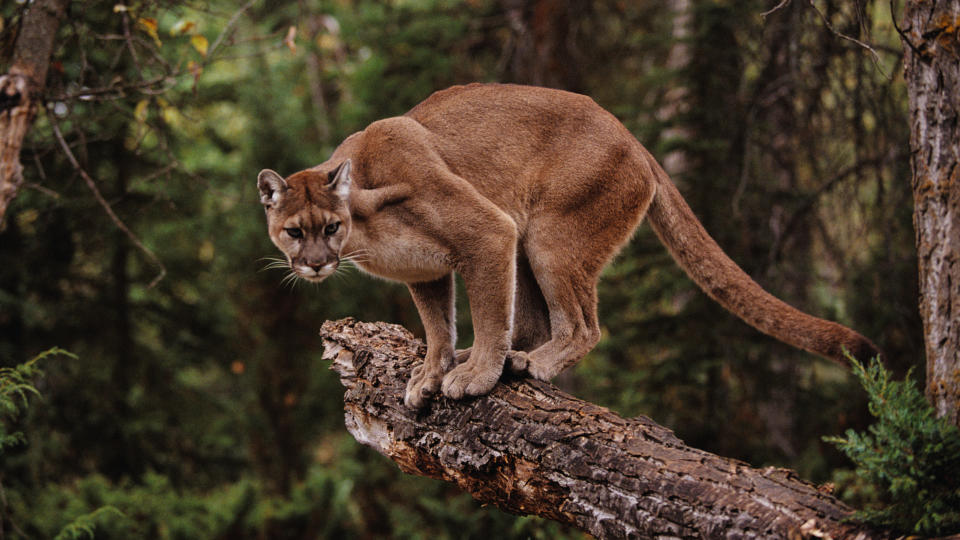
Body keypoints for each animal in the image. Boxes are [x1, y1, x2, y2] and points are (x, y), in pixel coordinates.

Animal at [258, 82, 880, 408]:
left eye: (329, 228)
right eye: (294, 232)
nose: (315, 265)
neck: (365, 223)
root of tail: (631, 135)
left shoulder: (487, 232)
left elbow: (488, 313)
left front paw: (473, 377)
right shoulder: (428, 271)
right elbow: (438, 326)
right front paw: (433, 372)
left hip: (548, 238)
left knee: (582, 325)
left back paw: (527, 365)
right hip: (531, 243)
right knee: (536, 321)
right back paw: (512, 358)